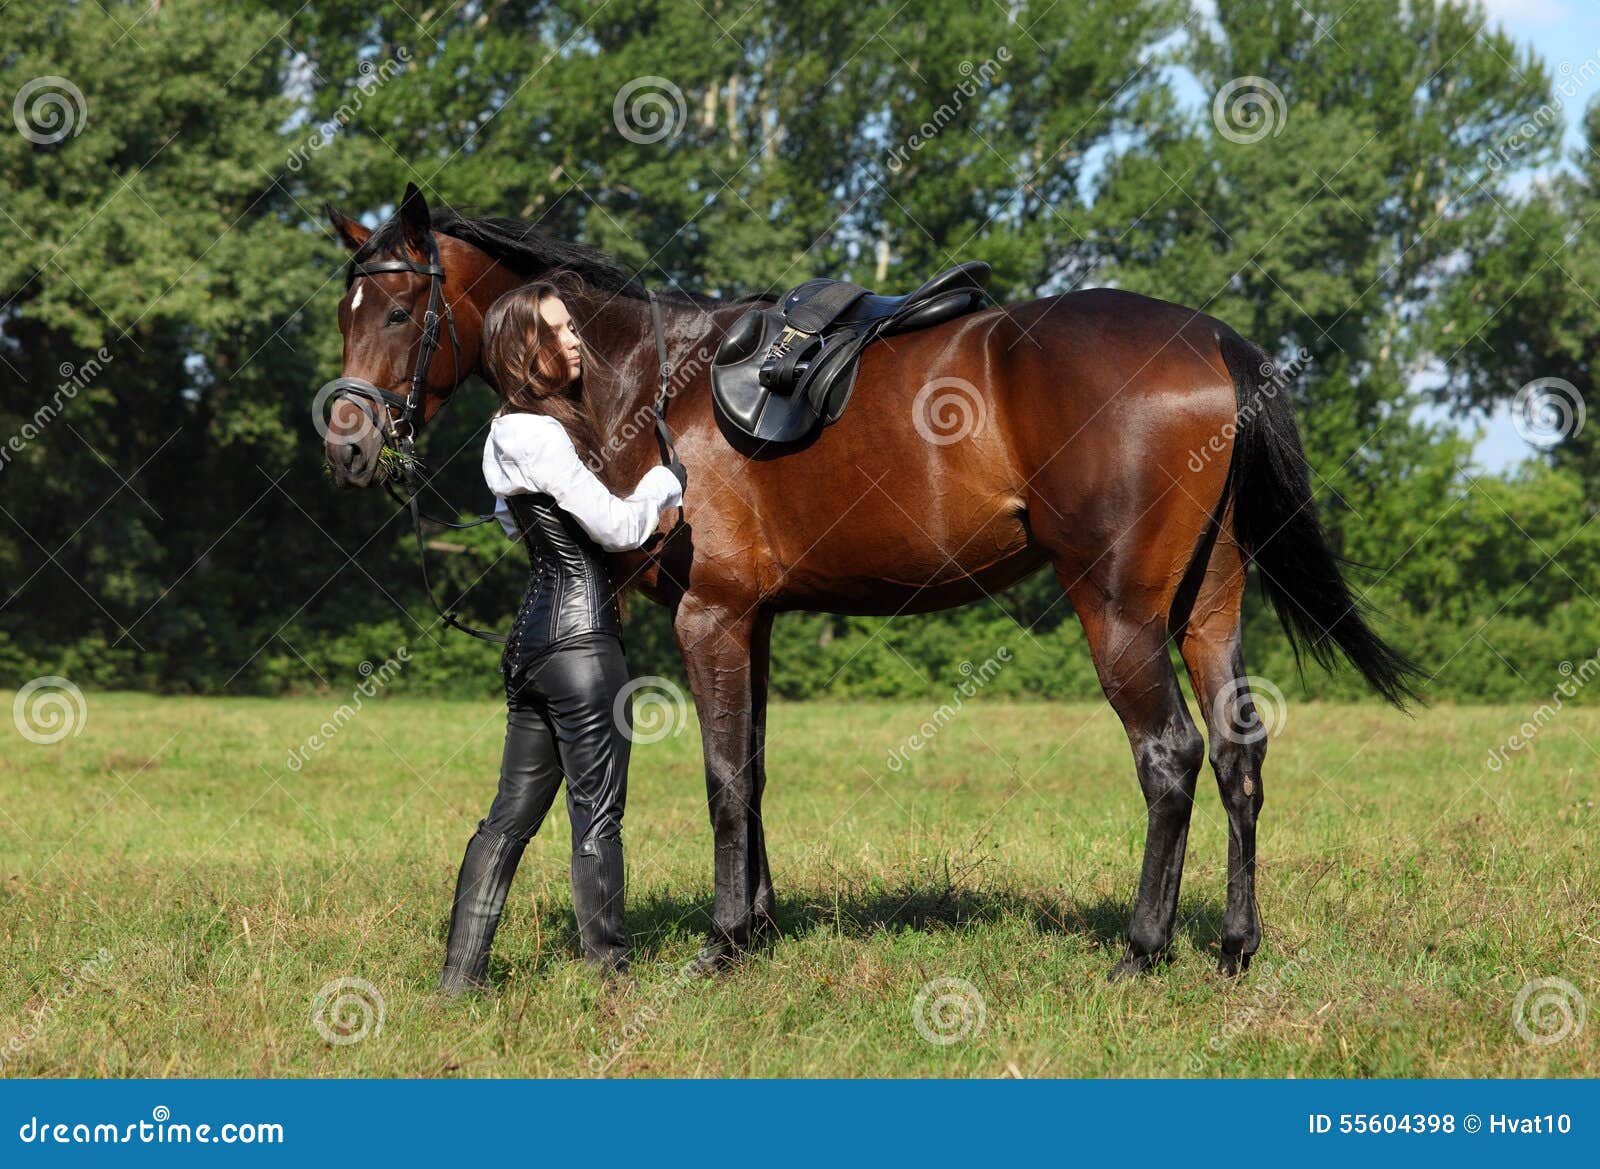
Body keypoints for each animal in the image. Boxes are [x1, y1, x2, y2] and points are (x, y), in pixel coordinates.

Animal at [321, 187, 1414, 985]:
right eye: (346, 310)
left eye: (401, 308)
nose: (347, 443)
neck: (647, 379)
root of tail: (1213, 341)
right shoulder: (753, 620)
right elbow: (754, 768)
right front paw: (760, 925)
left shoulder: (710, 617)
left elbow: (722, 775)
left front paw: (723, 940)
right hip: (1206, 608)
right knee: (1237, 756)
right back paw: (1233, 946)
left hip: (1119, 613)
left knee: (1170, 757)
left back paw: (1141, 952)